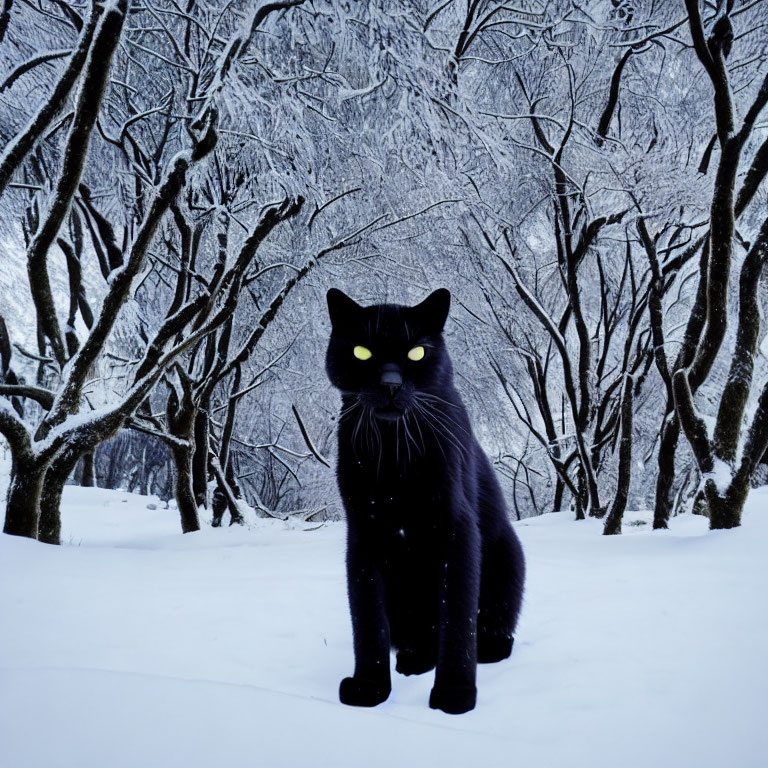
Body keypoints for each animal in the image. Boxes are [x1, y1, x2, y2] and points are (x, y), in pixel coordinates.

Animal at [328, 288, 524, 712]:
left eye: (417, 352)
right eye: (362, 352)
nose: (390, 383)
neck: (393, 453)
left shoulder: (455, 527)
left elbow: (458, 615)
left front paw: (455, 692)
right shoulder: (363, 531)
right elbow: (367, 618)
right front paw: (369, 687)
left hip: (507, 558)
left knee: (493, 625)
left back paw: (486, 650)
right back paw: (413, 660)